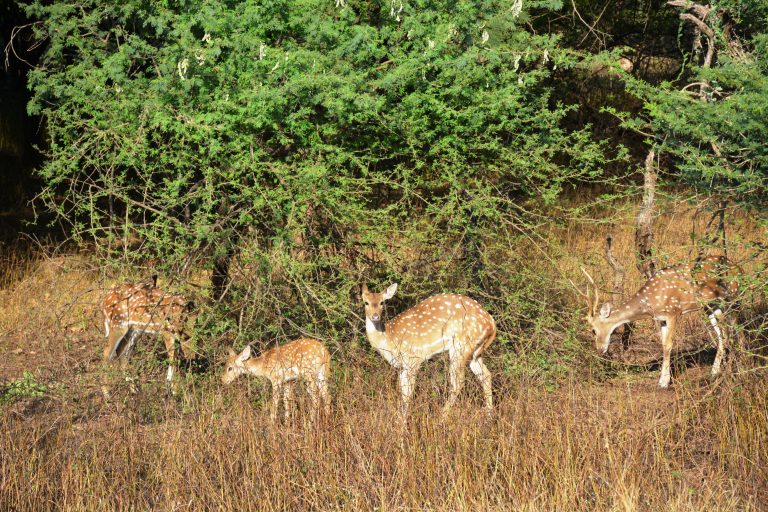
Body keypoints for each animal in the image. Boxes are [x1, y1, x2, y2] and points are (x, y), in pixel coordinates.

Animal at [362, 284, 498, 416]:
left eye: (382, 302)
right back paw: (489, 415)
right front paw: (399, 418)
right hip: (474, 351)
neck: (389, 338)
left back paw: (442, 416)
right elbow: (403, 392)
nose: (375, 316)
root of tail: (491, 323)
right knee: (486, 375)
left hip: (460, 346)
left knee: (458, 382)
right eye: (366, 302)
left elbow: (408, 394)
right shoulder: (402, 366)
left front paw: (403, 420)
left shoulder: (413, 359)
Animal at [580, 256, 740, 388]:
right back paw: (714, 373)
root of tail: (738, 267)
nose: (600, 349)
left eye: (593, 330)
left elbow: (668, 345)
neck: (651, 301)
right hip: (711, 307)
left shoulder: (674, 312)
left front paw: (664, 382)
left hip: (732, 298)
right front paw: (663, 379)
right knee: (723, 335)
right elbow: (663, 345)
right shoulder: (661, 319)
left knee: (737, 328)